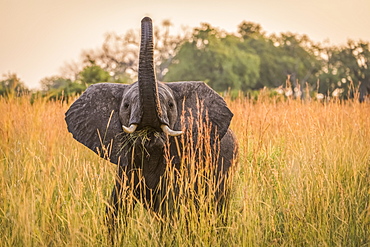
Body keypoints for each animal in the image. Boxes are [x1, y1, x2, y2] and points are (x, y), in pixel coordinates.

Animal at [64, 16, 237, 226]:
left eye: (170, 105)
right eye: (126, 106)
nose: (146, 18)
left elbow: (171, 206)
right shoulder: (125, 166)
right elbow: (116, 207)